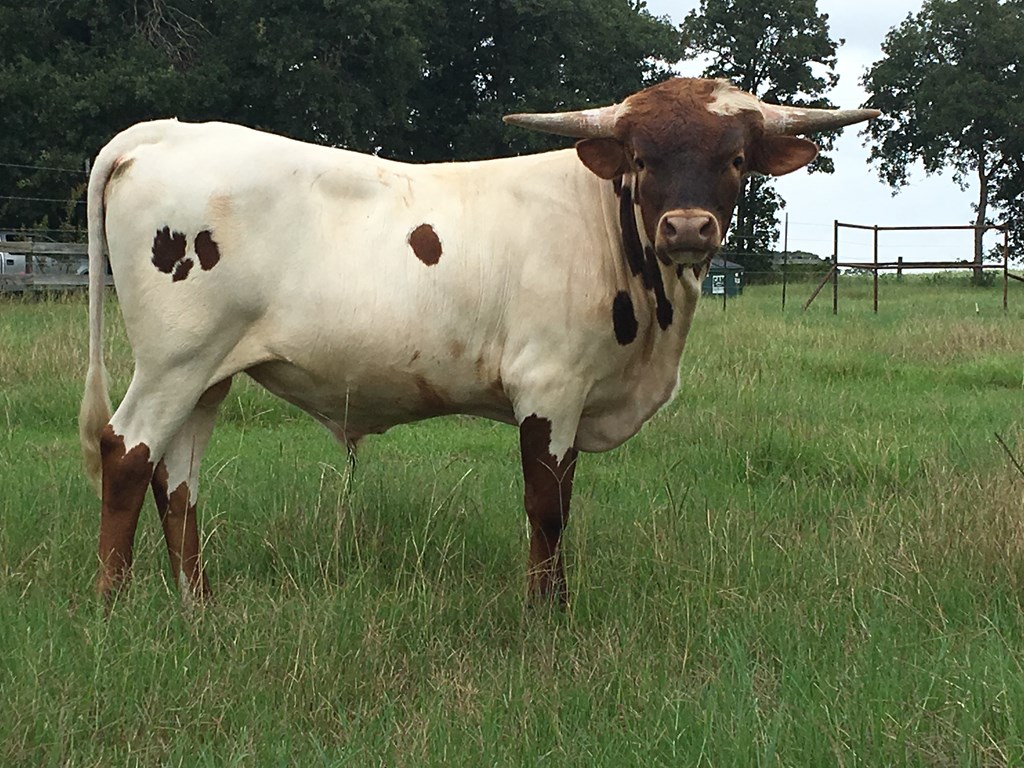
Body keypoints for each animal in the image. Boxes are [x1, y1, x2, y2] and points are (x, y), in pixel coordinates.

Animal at [79, 77, 877, 604]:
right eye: (642, 158)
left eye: (736, 159)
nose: (686, 228)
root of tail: (167, 131)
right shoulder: (549, 387)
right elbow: (546, 508)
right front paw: (545, 618)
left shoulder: (576, 400)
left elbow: (562, 503)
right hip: (174, 361)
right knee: (128, 453)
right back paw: (113, 606)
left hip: (210, 372)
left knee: (177, 475)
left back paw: (197, 603)